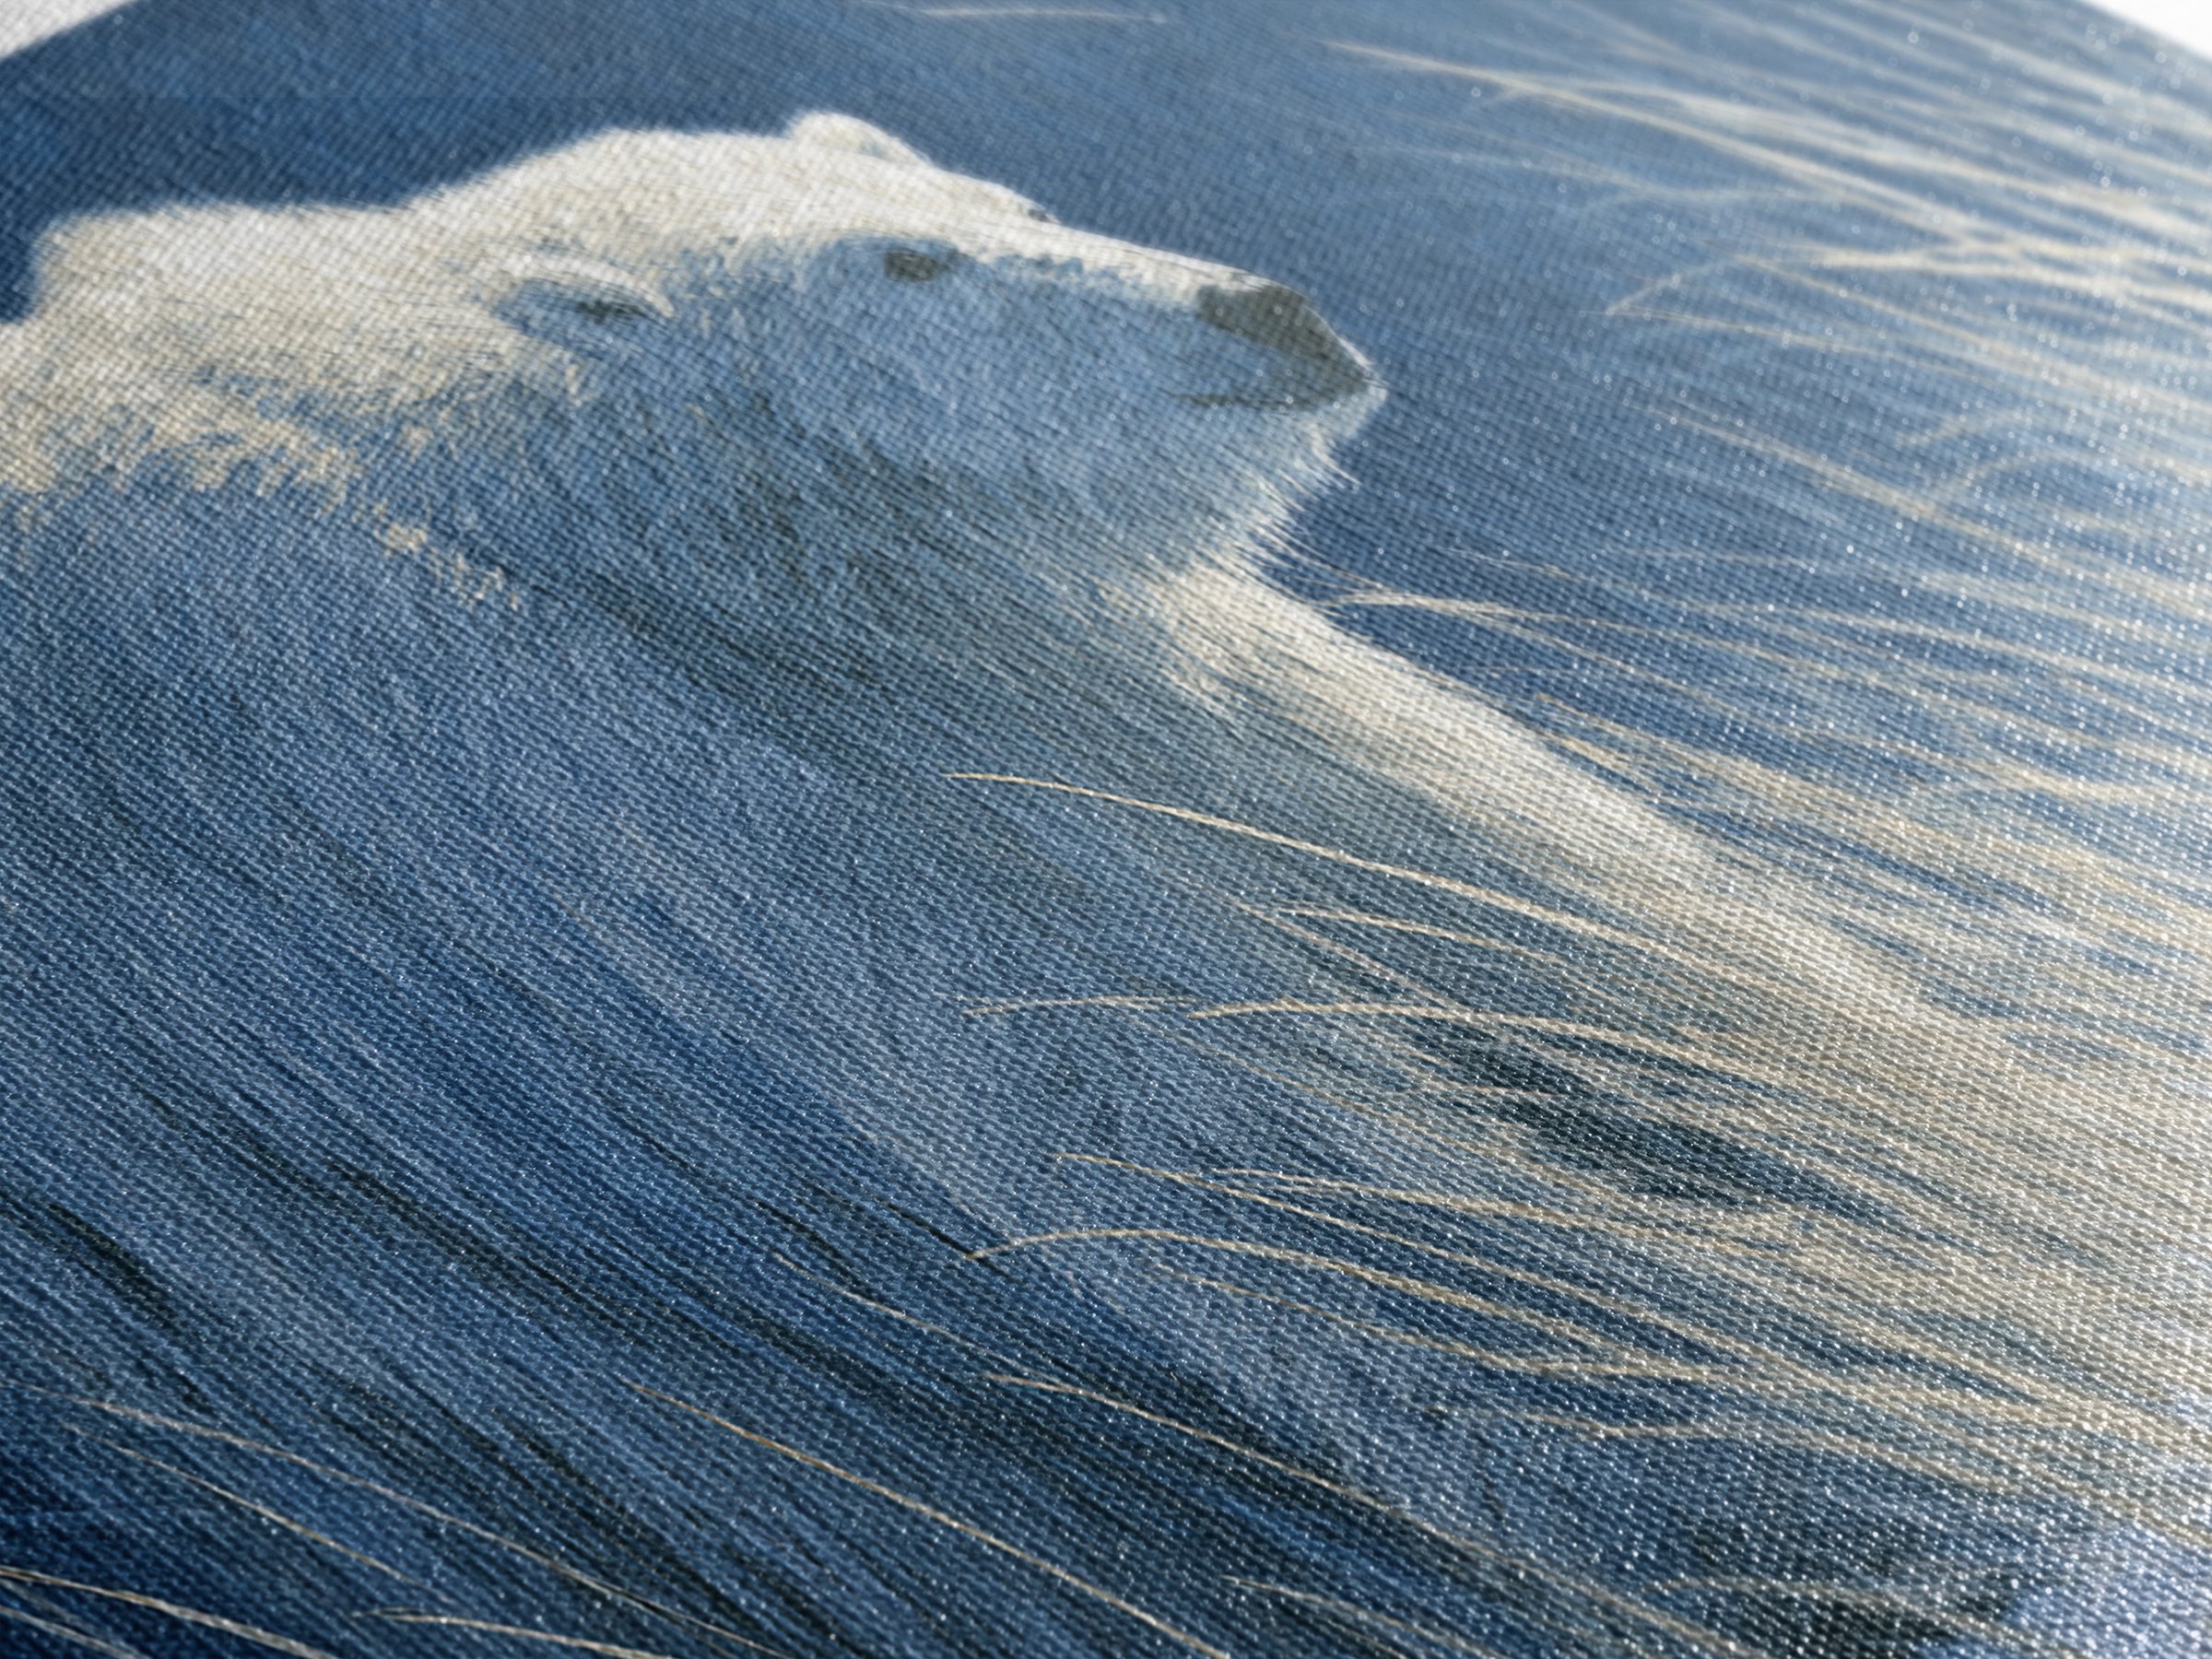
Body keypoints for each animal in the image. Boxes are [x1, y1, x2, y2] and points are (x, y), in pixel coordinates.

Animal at [0, 113, 2181, 1658]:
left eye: (982, 187)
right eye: (910, 261)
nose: (1268, 312)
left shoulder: (1062, 690)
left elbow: (1571, 930)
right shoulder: (523, 799)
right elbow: (1186, 1159)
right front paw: (1897, 1500)